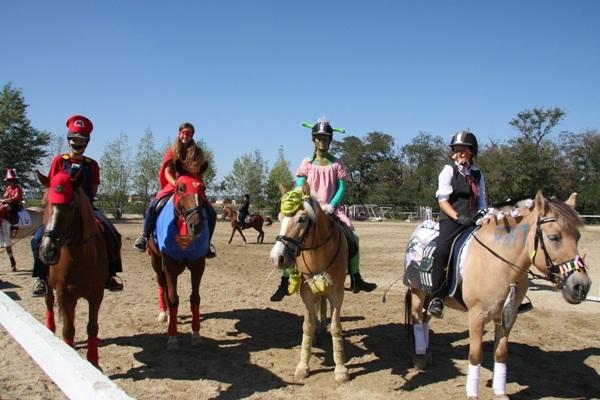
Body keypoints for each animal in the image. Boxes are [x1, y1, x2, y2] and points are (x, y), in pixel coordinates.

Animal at [37, 170, 108, 367]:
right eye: (44, 204)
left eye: (70, 206)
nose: (48, 251)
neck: (80, 257)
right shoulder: (63, 293)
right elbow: (68, 329)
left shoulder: (96, 294)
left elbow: (92, 327)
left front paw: (93, 361)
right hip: (50, 288)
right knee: (49, 303)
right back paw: (50, 329)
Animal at [147, 175, 210, 350]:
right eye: (180, 188)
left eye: (203, 188)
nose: (196, 225)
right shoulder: (169, 266)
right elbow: (173, 298)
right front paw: (173, 337)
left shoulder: (198, 265)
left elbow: (195, 298)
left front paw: (196, 334)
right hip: (156, 261)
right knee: (162, 285)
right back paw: (164, 313)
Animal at [269, 183, 349, 383]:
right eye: (280, 218)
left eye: (302, 219)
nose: (276, 258)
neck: (318, 252)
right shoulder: (306, 293)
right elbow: (307, 326)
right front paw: (302, 366)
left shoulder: (337, 293)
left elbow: (336, 328)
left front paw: (340, 369)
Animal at [404, 191, 592, 399]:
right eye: (554, 237)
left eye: (578, 236)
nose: (581, 286)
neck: (499, 265)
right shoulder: (476, 317)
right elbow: (475, 355)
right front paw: (472, 393)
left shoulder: (507, 317)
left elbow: (501, 353)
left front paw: (500, 392)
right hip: (418, 292)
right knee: (418, 320)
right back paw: (420, 358)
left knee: (426, 319)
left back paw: (427, 354)